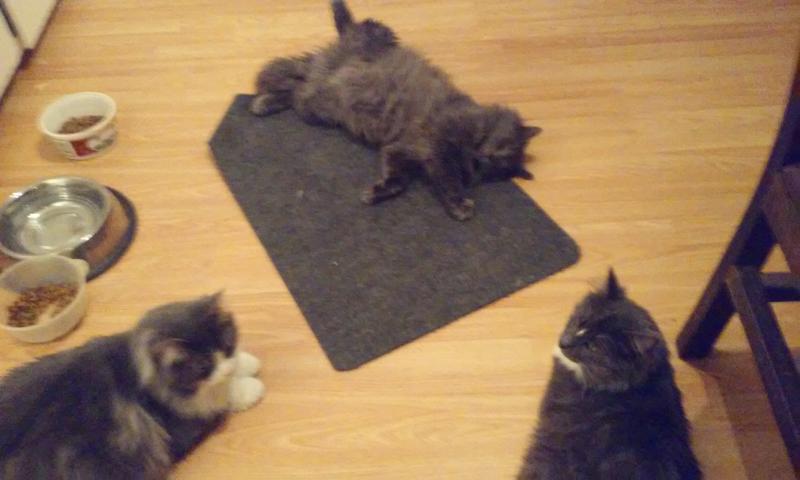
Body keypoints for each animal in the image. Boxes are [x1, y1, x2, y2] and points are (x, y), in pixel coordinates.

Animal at [0, 293, 265, 480]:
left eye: (226, 345)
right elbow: (223, 395)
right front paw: (251, 385)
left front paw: (246, 363)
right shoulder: (183, 417)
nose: (226, 370)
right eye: (202, 366)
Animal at [250, 0, 541, 221]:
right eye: (502, 150)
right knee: (291, 77)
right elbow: (448, 180)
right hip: (326, 93)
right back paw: (263, 100)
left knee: (294, 82)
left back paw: (265, 101)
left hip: (319, 105)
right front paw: (460, 205)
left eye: (497, 170)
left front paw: (376, 192)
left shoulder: (400, 151)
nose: (484, 161)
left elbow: (398, 182)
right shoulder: (438, 145)